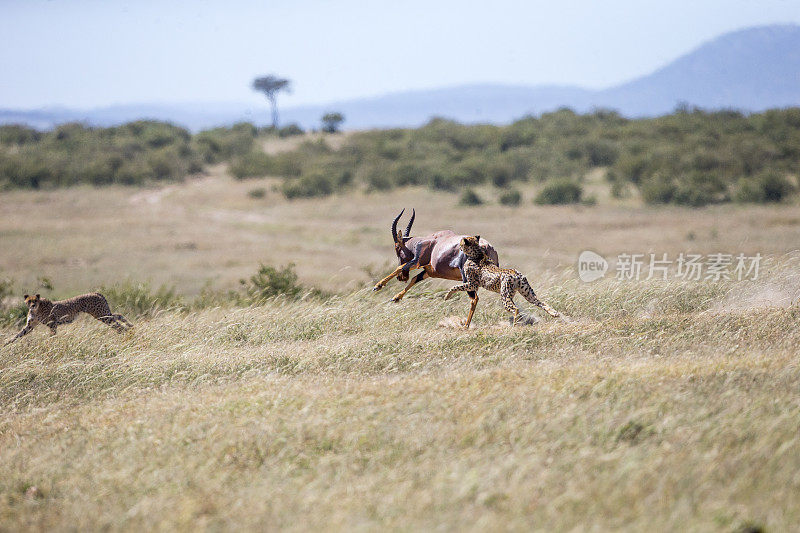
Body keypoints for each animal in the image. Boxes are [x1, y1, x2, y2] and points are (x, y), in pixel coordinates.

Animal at [3, 290, 132, 344]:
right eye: (29, 301)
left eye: (35, 300)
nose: (32, 305)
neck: (36, 310)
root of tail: (96, 292)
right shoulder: (30, 326)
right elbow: (19, 334)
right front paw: (7, 343)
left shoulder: (52, 323)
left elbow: (52, 336)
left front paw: (52, 344)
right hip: (103, 313)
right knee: (118, 316)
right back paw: (130, 326)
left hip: (101, 315)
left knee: (116, 324)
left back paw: (126, 331)